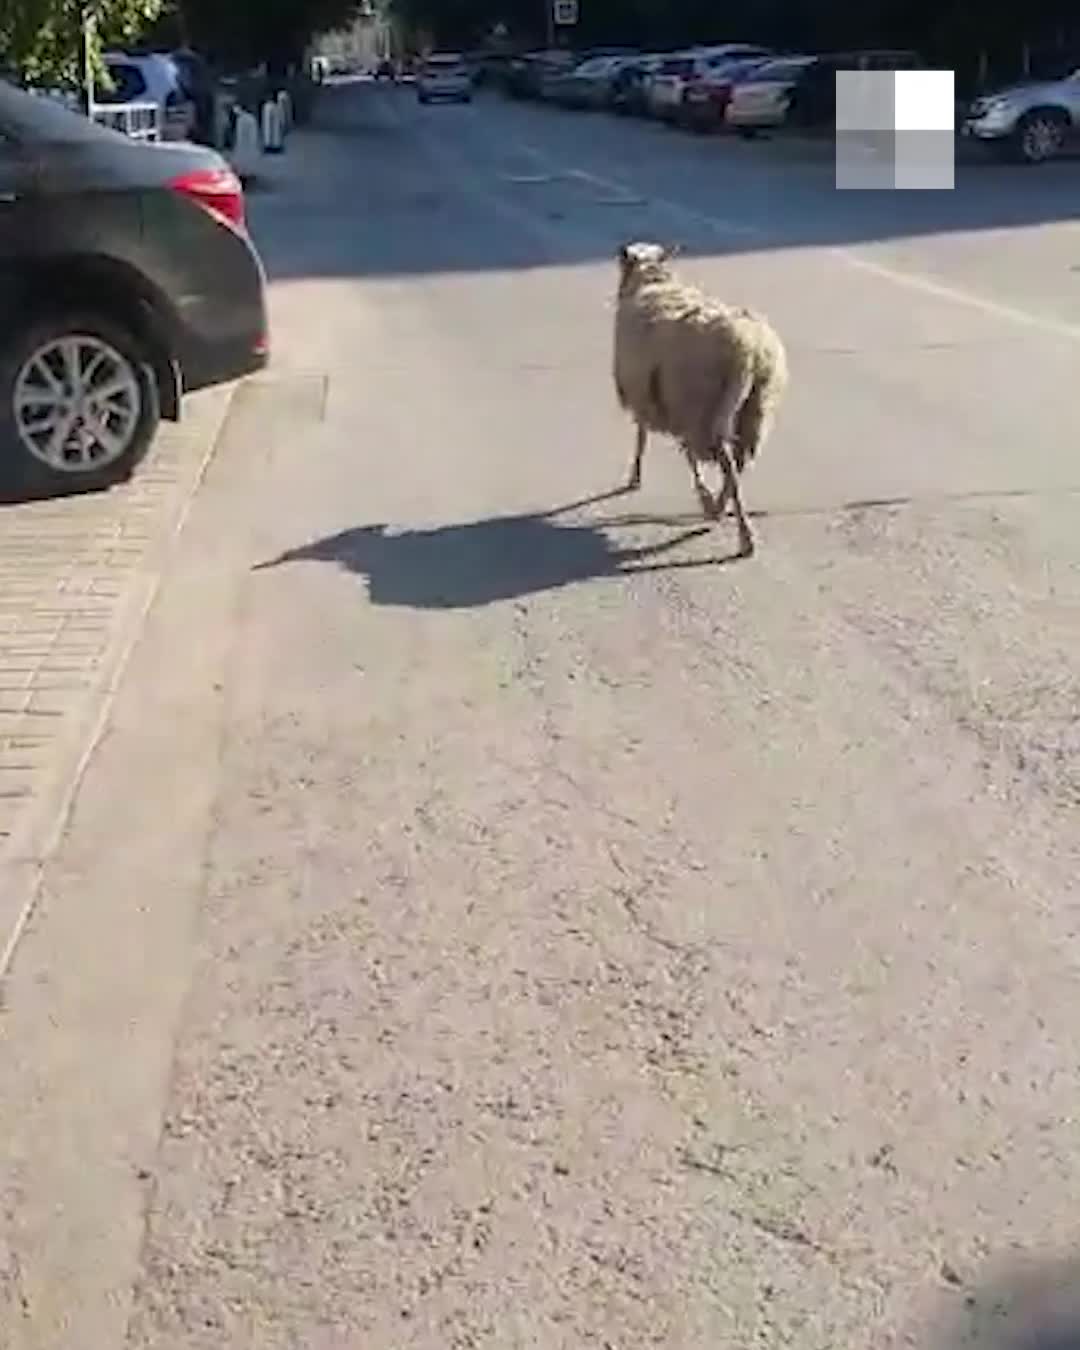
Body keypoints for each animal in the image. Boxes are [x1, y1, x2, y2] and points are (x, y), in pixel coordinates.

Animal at [615, 240, 783, 556]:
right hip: (755, 407)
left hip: (701, 406)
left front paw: (634, 477)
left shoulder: (653, 398)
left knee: (722, 460)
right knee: (738, 462)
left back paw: (733, 525)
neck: (652, 281)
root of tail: (747, 352)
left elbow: (643, 438)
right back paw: (721, 508)